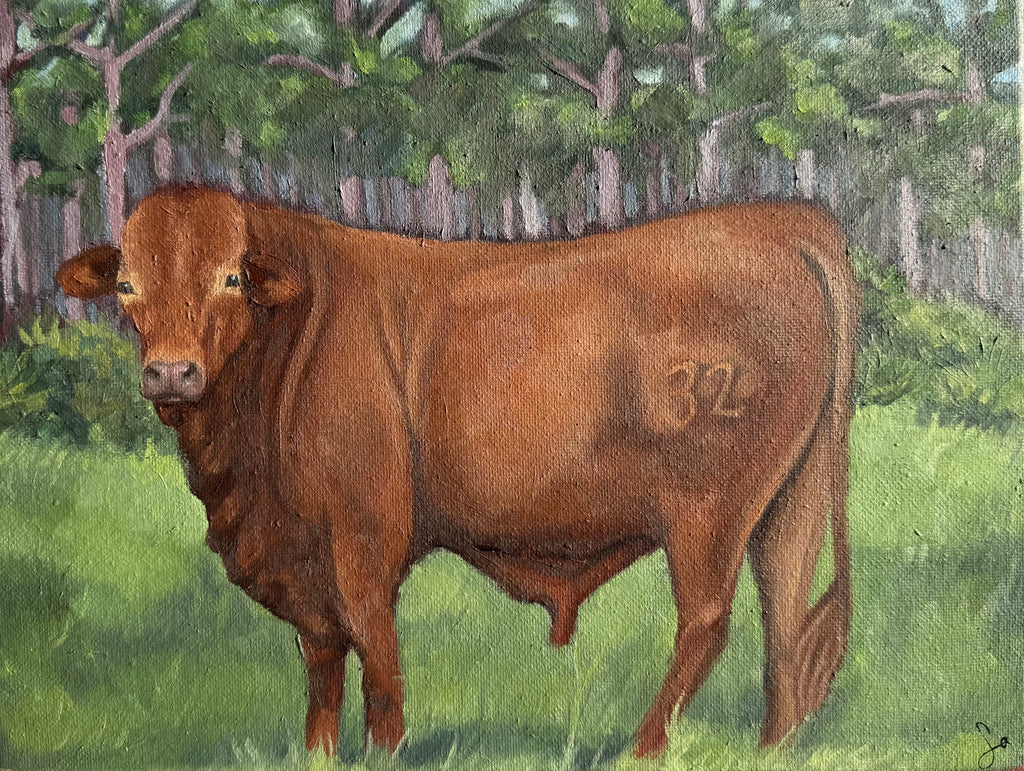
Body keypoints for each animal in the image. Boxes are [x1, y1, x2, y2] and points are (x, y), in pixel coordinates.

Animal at [57, 187, 859, 758]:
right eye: (126, 286)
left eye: (229, 277)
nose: (171, 372)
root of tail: (776, 222)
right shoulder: (303, 556)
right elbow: (323, 666)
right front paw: (318, 753)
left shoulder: (362, 542)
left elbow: (378, 662)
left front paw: (383, 752)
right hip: (787, 505)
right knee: (784, 617)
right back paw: (770, 748)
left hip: (707, 513)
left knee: (708, 621)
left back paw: (641, 749)